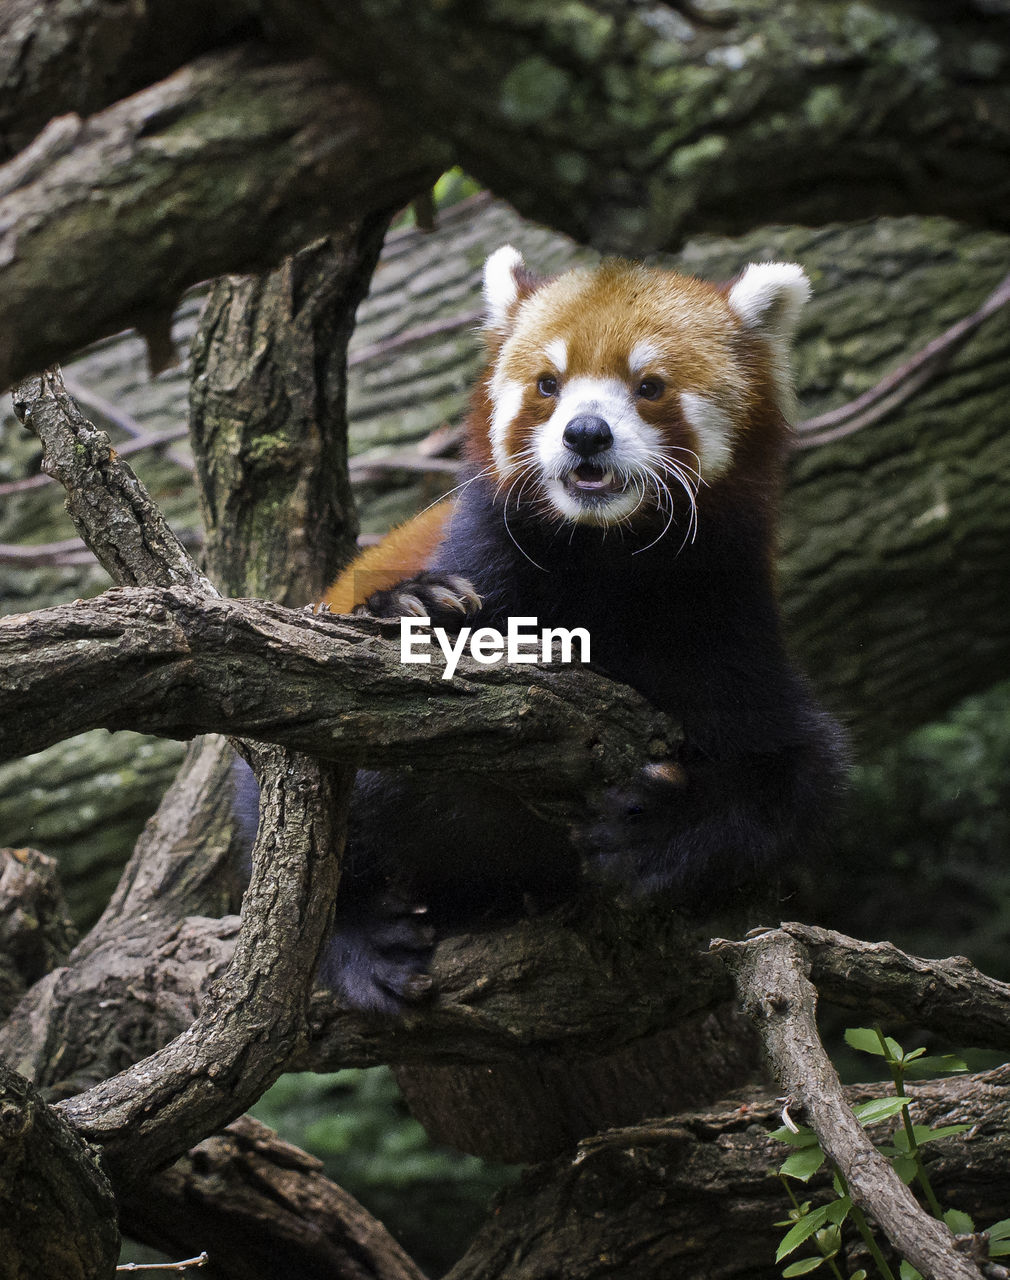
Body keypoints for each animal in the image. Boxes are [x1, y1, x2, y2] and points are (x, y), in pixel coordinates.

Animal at [248, 247, 844, 1008]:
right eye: (548, 385)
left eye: (649, 386)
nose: (586, 432)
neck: (602, 556)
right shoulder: (490, 563)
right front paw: (419, 604)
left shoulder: (721, 615)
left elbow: (796, 776)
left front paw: (656, 832)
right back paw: (358, 932)